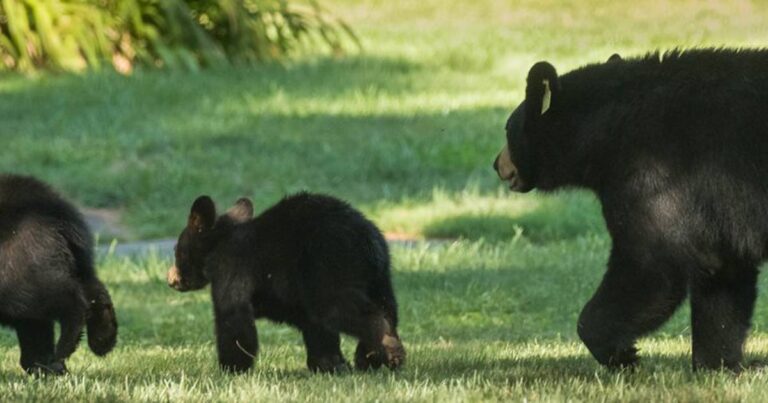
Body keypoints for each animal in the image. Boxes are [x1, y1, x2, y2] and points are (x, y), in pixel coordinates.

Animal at [0, 175, 117, 378]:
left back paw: (61, 351)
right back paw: (101, 339)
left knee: (66, 301)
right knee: (90, 287)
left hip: (18, 264)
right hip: (71, 258)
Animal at [167, 194, 404, 374]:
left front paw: (232, 367)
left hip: (330, 267)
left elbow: (234, 316)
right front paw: (330, 363)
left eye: (177, 252)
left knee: (338, 308)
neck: (219, 241)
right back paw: (376, 356)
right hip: (380, 278)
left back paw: (384, 345)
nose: (170, 279)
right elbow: (312, 324)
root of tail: (369, 242)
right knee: (387, 308)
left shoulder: (231, 266)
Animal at [496, 49, 768, 370]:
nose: (498, 164)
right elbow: (720, 273)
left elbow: (651, 264)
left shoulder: (653, 176)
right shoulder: (712, 213)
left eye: (507, 130)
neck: (606, 131)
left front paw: (621, 354)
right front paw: (718, 364)